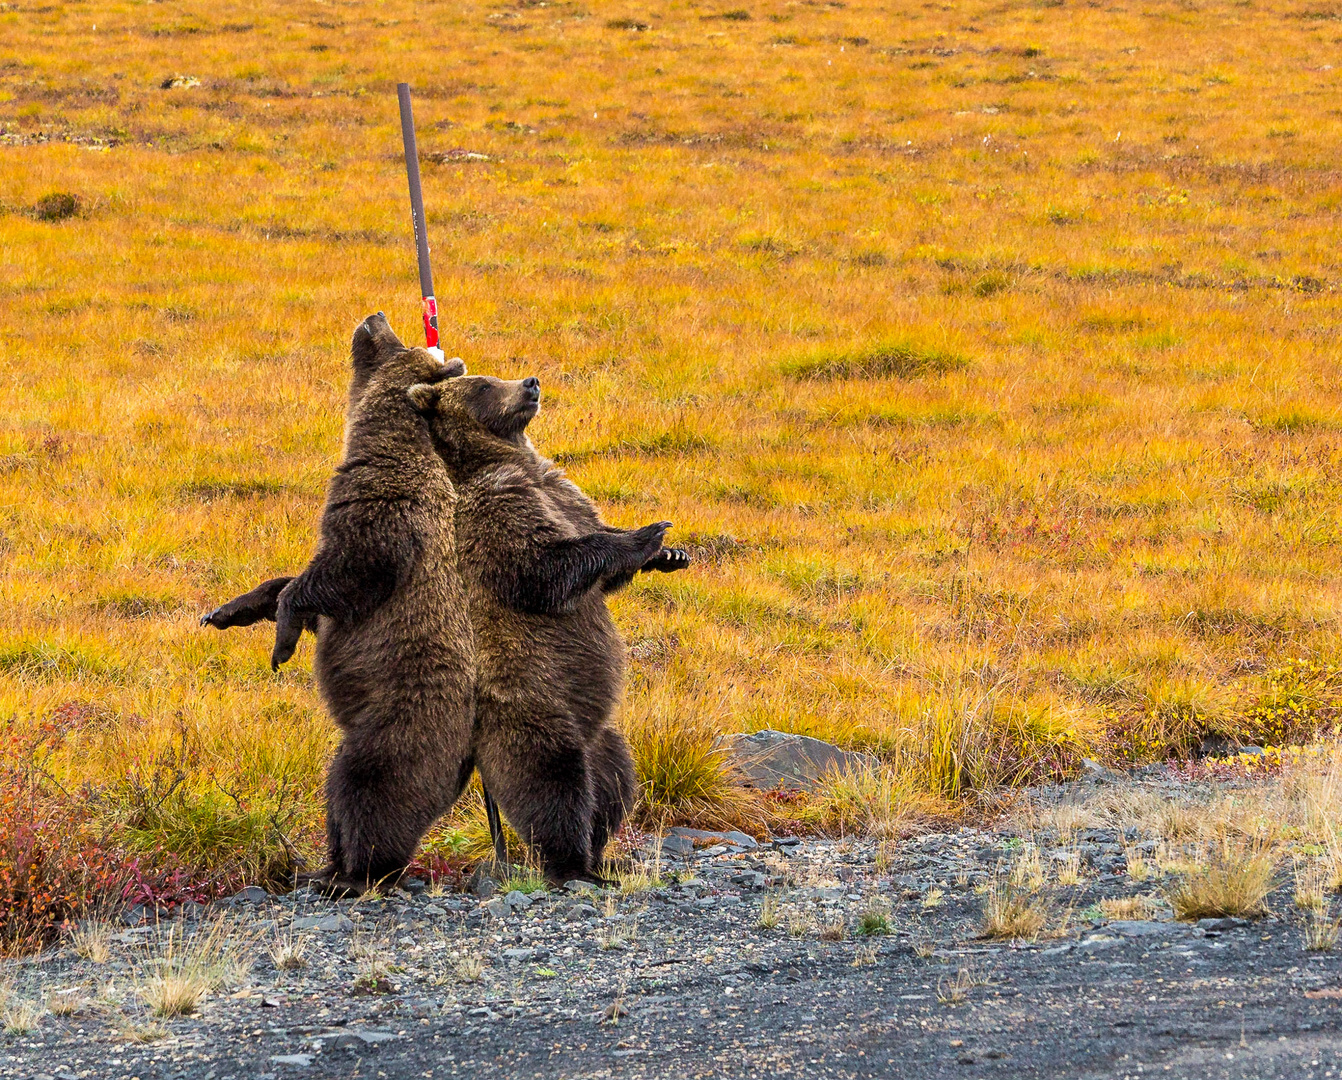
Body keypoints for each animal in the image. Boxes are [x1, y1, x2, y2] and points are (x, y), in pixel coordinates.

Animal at [221, 313, 477, 890]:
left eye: (398, 342)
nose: (374, 317)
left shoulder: (383, 518)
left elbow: (340, 574)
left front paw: (282, 642)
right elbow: (295, 584)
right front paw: (231, 610)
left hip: (396, 725)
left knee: (364, 788)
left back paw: (351, 872)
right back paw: (329, 865)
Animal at [402, 375, 687, 880]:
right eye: (484, 383)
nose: (530, 382)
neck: (513, 461)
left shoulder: (562, 491)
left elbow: (595, 547)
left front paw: (670, 553)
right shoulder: (496, 506)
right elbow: (541, 566)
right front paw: (648, 534)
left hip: (601, 734)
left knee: (614, 780)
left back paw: (603, 855)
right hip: (533, 709)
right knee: (553, 784)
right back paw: (572, 863)